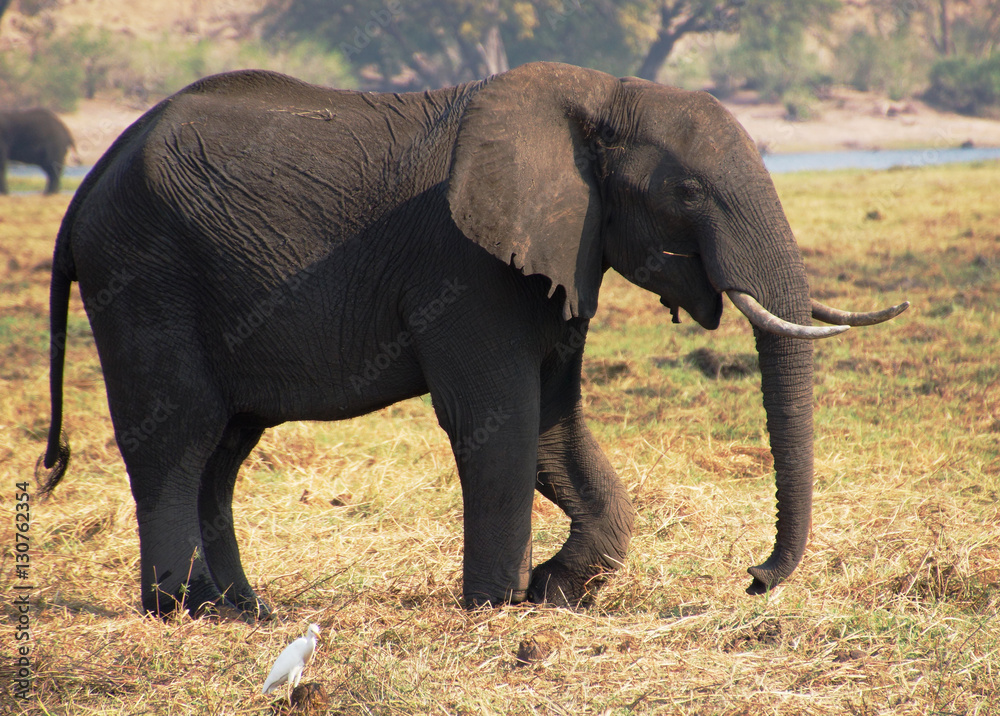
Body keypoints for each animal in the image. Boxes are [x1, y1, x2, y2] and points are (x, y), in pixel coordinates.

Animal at [38, 62, 907, 619]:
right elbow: (499, 420)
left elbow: (555, 427)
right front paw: (496, 607)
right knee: (177, 436)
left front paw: (555, 593)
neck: (604, 96)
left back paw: (244, 612)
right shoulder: (464, 265)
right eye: (688, 191)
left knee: (223, 450)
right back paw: (179, 608)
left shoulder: (560, 255)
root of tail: (88, 186)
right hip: (145, 273)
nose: (753, 578)